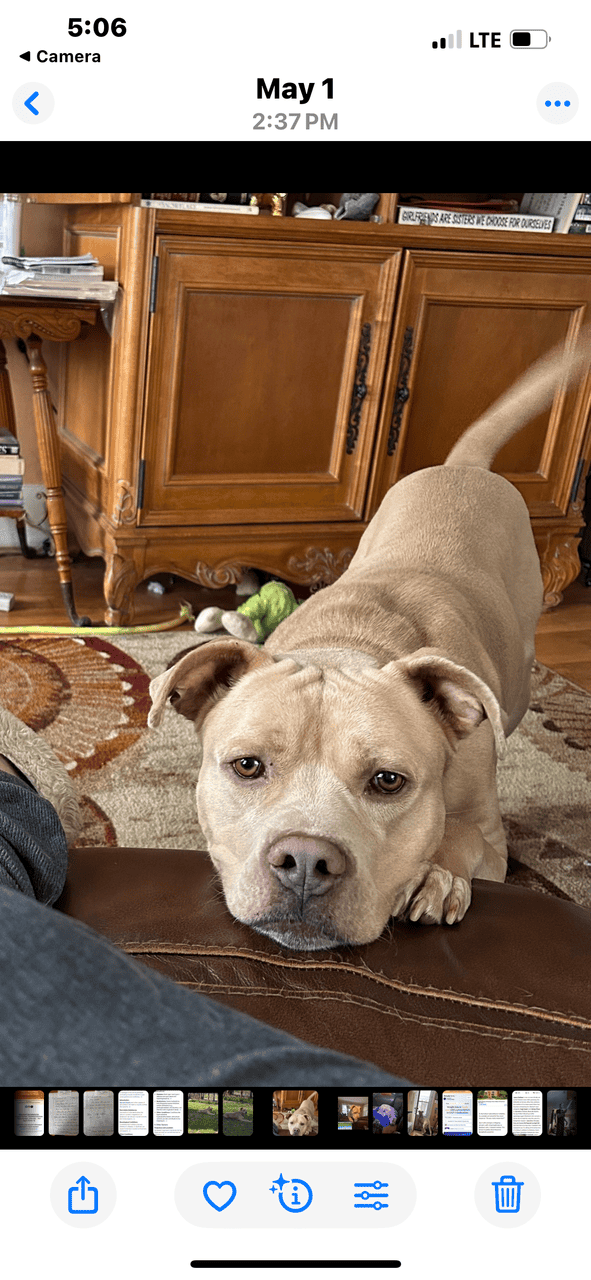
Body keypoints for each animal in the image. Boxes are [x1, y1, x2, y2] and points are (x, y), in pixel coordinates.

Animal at [149, 330, 591, 951]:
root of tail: (464, 469)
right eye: (247, 766)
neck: (351, 644)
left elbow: (459, 836)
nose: (305, 862)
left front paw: (437, 875)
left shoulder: (491, 838)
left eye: (388, 781)